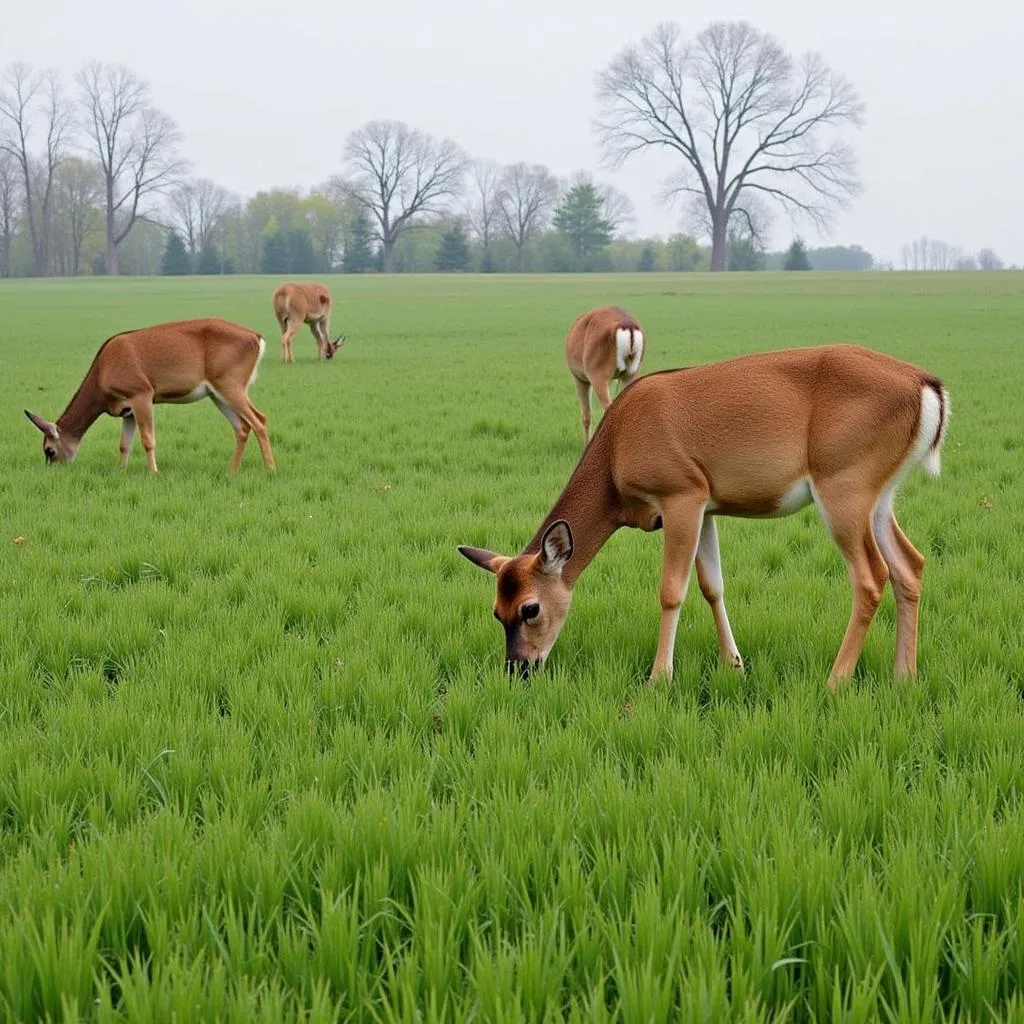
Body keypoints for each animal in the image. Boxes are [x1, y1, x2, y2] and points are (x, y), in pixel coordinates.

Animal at [24, 317, 276, 473]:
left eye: (49, 450)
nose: (56, 469)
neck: (103, 374)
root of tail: (257, 338)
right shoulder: (127, 411)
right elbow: (124, 444)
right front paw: (121, 470)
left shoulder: (142, 392)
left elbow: (147, 440)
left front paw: (154, 472)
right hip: (218, 392)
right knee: (242, 427)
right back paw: (231, 471)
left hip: (231, 383)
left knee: (259, 420)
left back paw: (270, 468)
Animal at [458, 342, 950, 688]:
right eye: (496, 611)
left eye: (531, 608)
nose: (519, 669)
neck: (615, 456)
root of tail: (929, 388)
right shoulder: (708, 506)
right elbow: (713, 585)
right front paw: (734, 666)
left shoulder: (681, 493)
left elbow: (672, 590)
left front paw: (659, 678)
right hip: (880, 495)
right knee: (910, 563)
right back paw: (904, 676)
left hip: (844, 483)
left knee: (871, 575)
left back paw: (836, 680)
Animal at [565, 307, 643, 444]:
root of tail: (628, 326)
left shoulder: (579, 377)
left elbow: (586, 416)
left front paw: (586, 444)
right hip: (631, 373)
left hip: (598, 375)